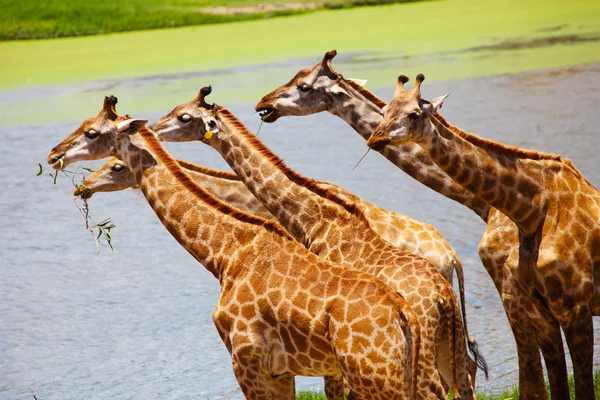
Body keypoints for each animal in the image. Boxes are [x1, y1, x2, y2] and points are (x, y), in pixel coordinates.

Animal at [47, 95, 422, 398]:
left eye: (92, 133)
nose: (53, 154)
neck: (224, 254)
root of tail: (404, 316)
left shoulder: (246, 362)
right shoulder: (281, 371)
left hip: (373, 377)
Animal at [150, 87, 482, 400]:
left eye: (183, 116)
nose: (153, 128)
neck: (312, 219)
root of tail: (444, 289)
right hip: (448, 343)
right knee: (466, 379)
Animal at [366, 74, 600, 400]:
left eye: (413, 114)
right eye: (384, 110)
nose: (375, 139)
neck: (533, 212)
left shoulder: (576, 307)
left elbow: (582, 385)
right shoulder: (542, 310)